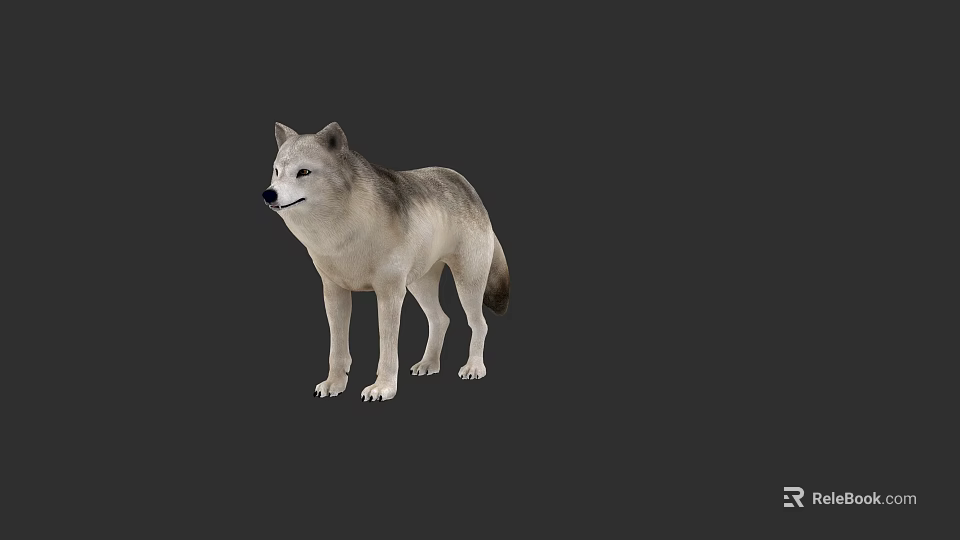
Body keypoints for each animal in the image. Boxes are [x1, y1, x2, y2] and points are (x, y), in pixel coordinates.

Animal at [264, 122, 510, 401]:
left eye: (303, 172)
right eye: (277, 171)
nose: (268, 194)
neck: (344, 232)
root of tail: (466, 185)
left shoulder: (389, 294)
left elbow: (387, 348)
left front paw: (383, 388)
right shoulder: (334, 293)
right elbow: (337, 349)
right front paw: (334, 384)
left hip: (467, 284)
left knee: (479, 323)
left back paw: (474, 367)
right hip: (419, 285)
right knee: (441, 319)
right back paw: (429, 364)